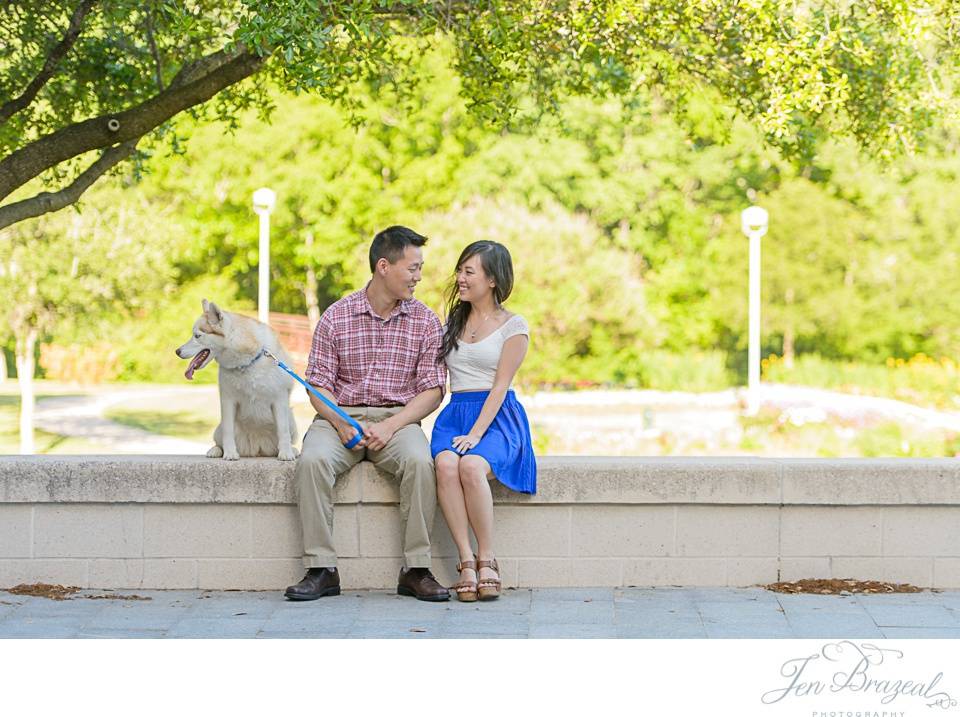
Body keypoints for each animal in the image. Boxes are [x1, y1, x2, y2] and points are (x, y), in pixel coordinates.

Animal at [174, 300, 298, 462]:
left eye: (197, 336)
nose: (177, 351)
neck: (247, 363)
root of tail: (257, 449)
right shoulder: (228, 400)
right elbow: (228, 431)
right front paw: (230, 453)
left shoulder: (279, 399)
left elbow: (283, 430)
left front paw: (286, 453)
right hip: (219, 428)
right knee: (219, 441)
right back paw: (216, 451)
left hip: (292, 420)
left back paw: (293, 450)